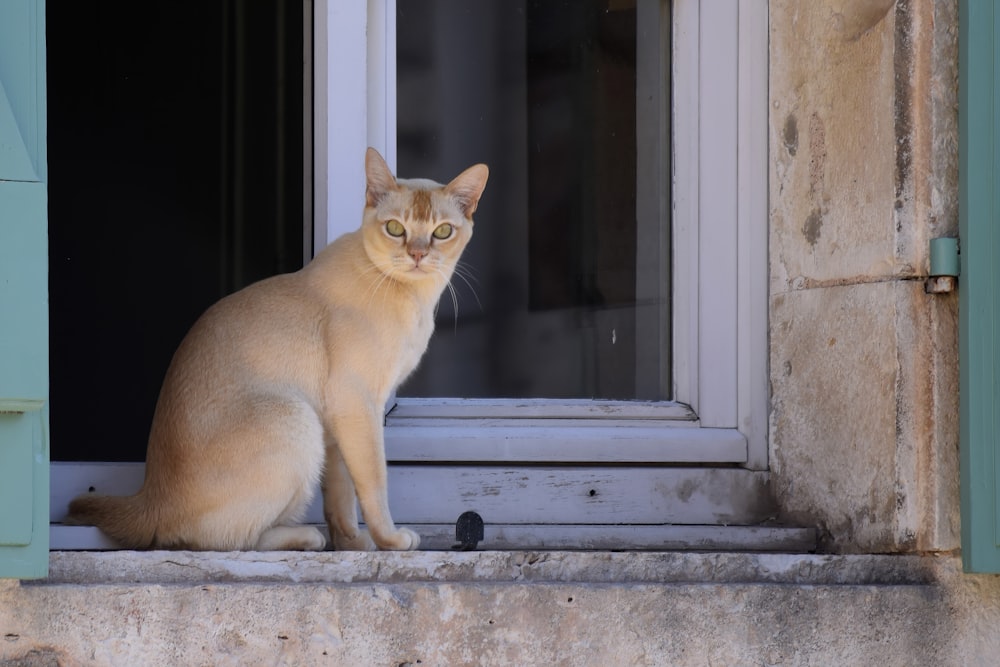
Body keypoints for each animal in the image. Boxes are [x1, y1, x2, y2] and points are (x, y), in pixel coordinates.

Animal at [66, 150, 488, 552]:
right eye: (395, 229)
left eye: (442, 232)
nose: (418, 256)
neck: (412, 296)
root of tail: (149, 496)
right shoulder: (357, 402)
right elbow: (373, 483)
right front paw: (390, 541)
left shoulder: (337, 421)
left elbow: (340, 497)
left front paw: (352, 544)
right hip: (296, 418)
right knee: (214, 539)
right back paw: (305, 537)